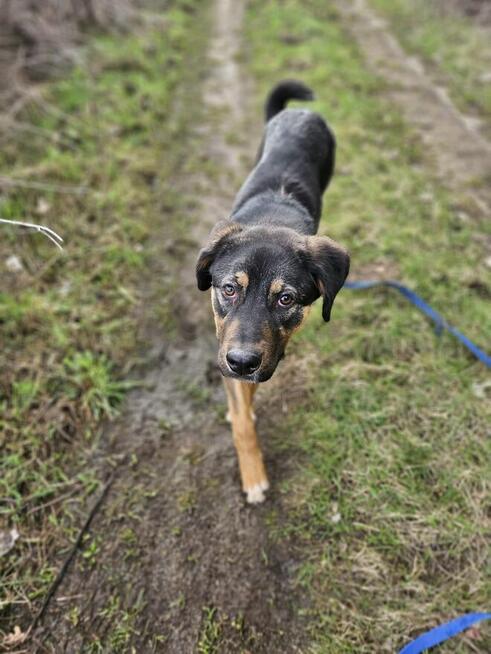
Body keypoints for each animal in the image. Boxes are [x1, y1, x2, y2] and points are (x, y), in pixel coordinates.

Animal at [195, 79, 350, 504]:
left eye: (286, 299)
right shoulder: (227, 347)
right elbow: (242, 420)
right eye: (228, 289)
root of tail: (299, 112)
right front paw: (253, 473)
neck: (271, 218)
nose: (242, 363)